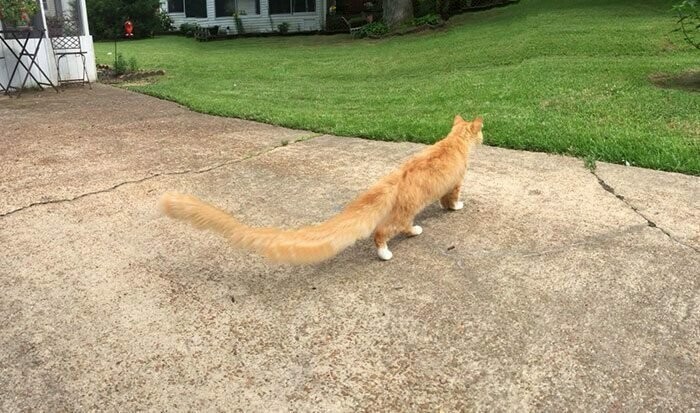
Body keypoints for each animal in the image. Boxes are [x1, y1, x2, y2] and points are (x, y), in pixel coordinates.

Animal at [161, 115, 484, 264]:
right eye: (481, 132)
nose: (485, 137)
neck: (453, 141)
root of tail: (392, 179)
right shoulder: (456, 182)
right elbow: (453, 199)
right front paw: (456, 207)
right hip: (404, 214)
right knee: (385, 231)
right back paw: (394, 247)